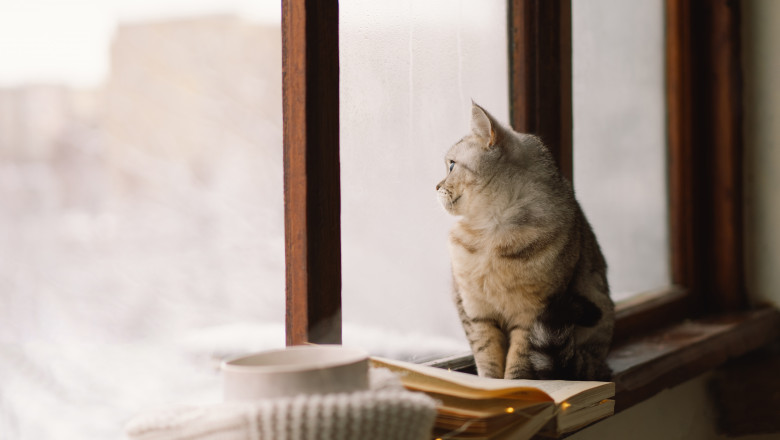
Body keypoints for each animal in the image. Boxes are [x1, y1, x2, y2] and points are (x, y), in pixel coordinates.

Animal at [436, 101, 612, 380]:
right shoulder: (474, 310)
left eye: (451, 165)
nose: (436, 186)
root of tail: (599, 361)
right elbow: (487, 357)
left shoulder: (533, 313)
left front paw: (513, 384)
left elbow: (518, 362)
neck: (491, 234)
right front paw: (490, 384)